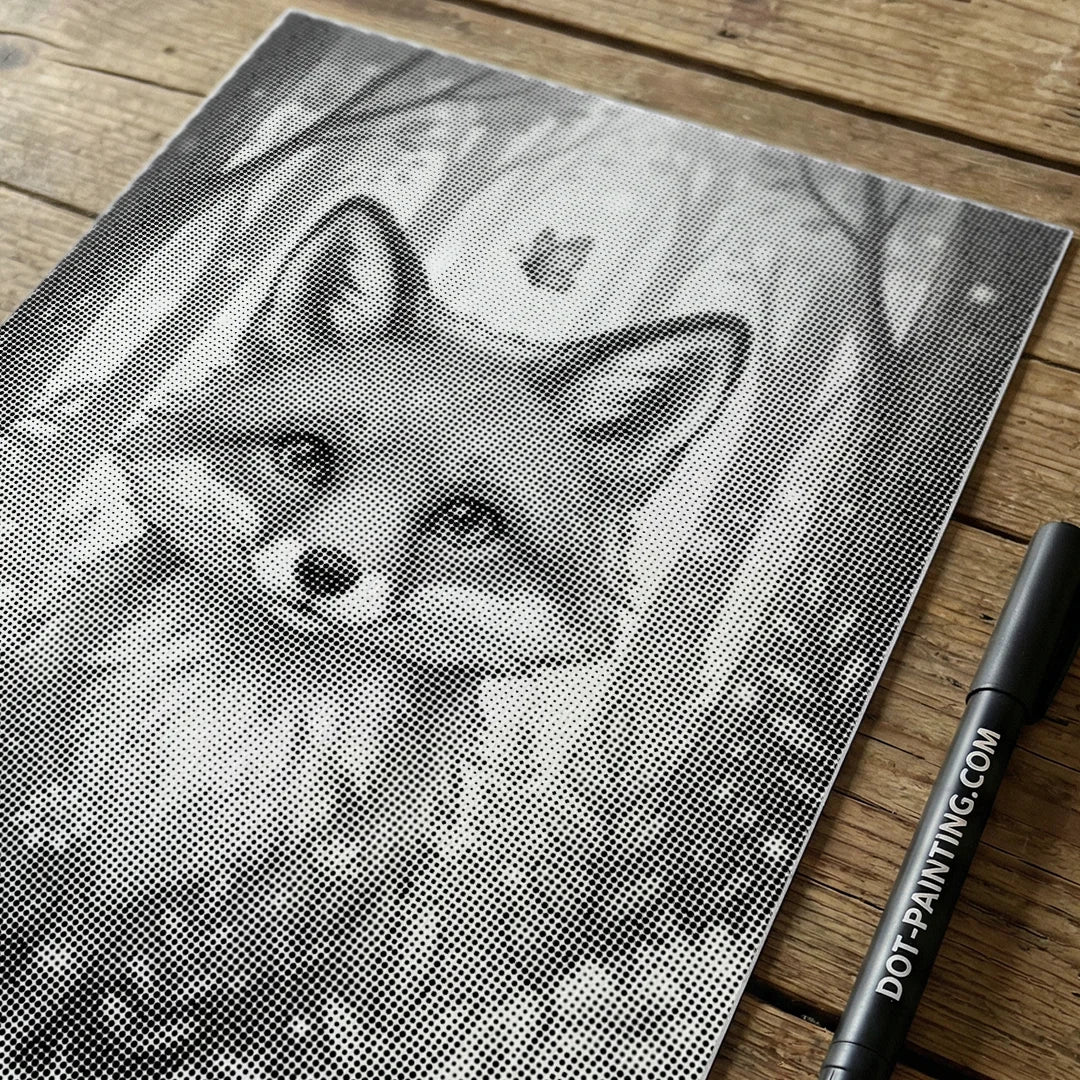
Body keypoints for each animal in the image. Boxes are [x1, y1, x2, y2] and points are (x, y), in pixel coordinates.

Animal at [2, 196, 750, 1076]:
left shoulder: (230, 965)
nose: (325, 571)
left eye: (468, 519)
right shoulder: (48, 864)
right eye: (304, 453)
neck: (241, 737)